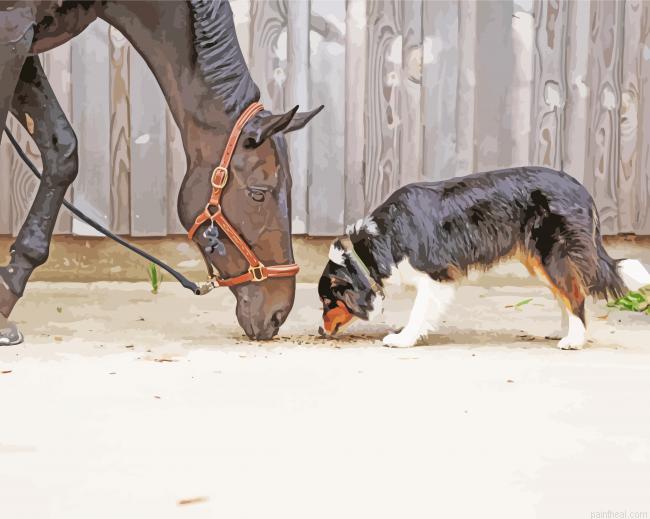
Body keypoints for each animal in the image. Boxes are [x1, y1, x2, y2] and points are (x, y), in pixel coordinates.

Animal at [0, 0, 322, 345]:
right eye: (258, 194)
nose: (278, 313)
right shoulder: (13, 34)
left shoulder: (25, 45)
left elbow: (63, 150)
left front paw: (8, 290)